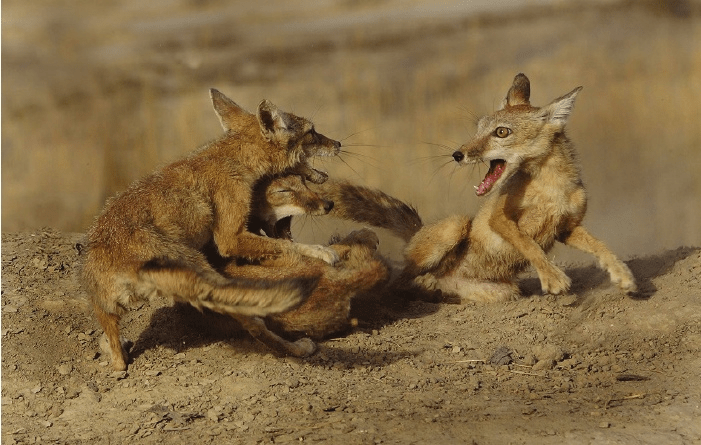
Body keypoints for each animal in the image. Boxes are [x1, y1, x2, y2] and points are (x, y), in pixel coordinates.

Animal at [81, 88, 342, 370]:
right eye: (312, 132)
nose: (338, 143)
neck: (232, 158)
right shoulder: (230, 238)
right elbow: (286, 245)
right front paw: (322, 251)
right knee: (256, 325)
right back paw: (299, 348)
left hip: (107, 309)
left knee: (118, 361)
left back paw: (116, 349)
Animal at [400, 73, 636, 302]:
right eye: (478, 129)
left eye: (501, 132)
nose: (457, 155)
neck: (551, 189)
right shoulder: (498, 218)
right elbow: (528, 244)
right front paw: (552, 278)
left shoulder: (567, 227)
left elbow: (600, 245)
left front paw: (622, 274)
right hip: (457, 223)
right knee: (402, 278)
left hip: (505, 292)